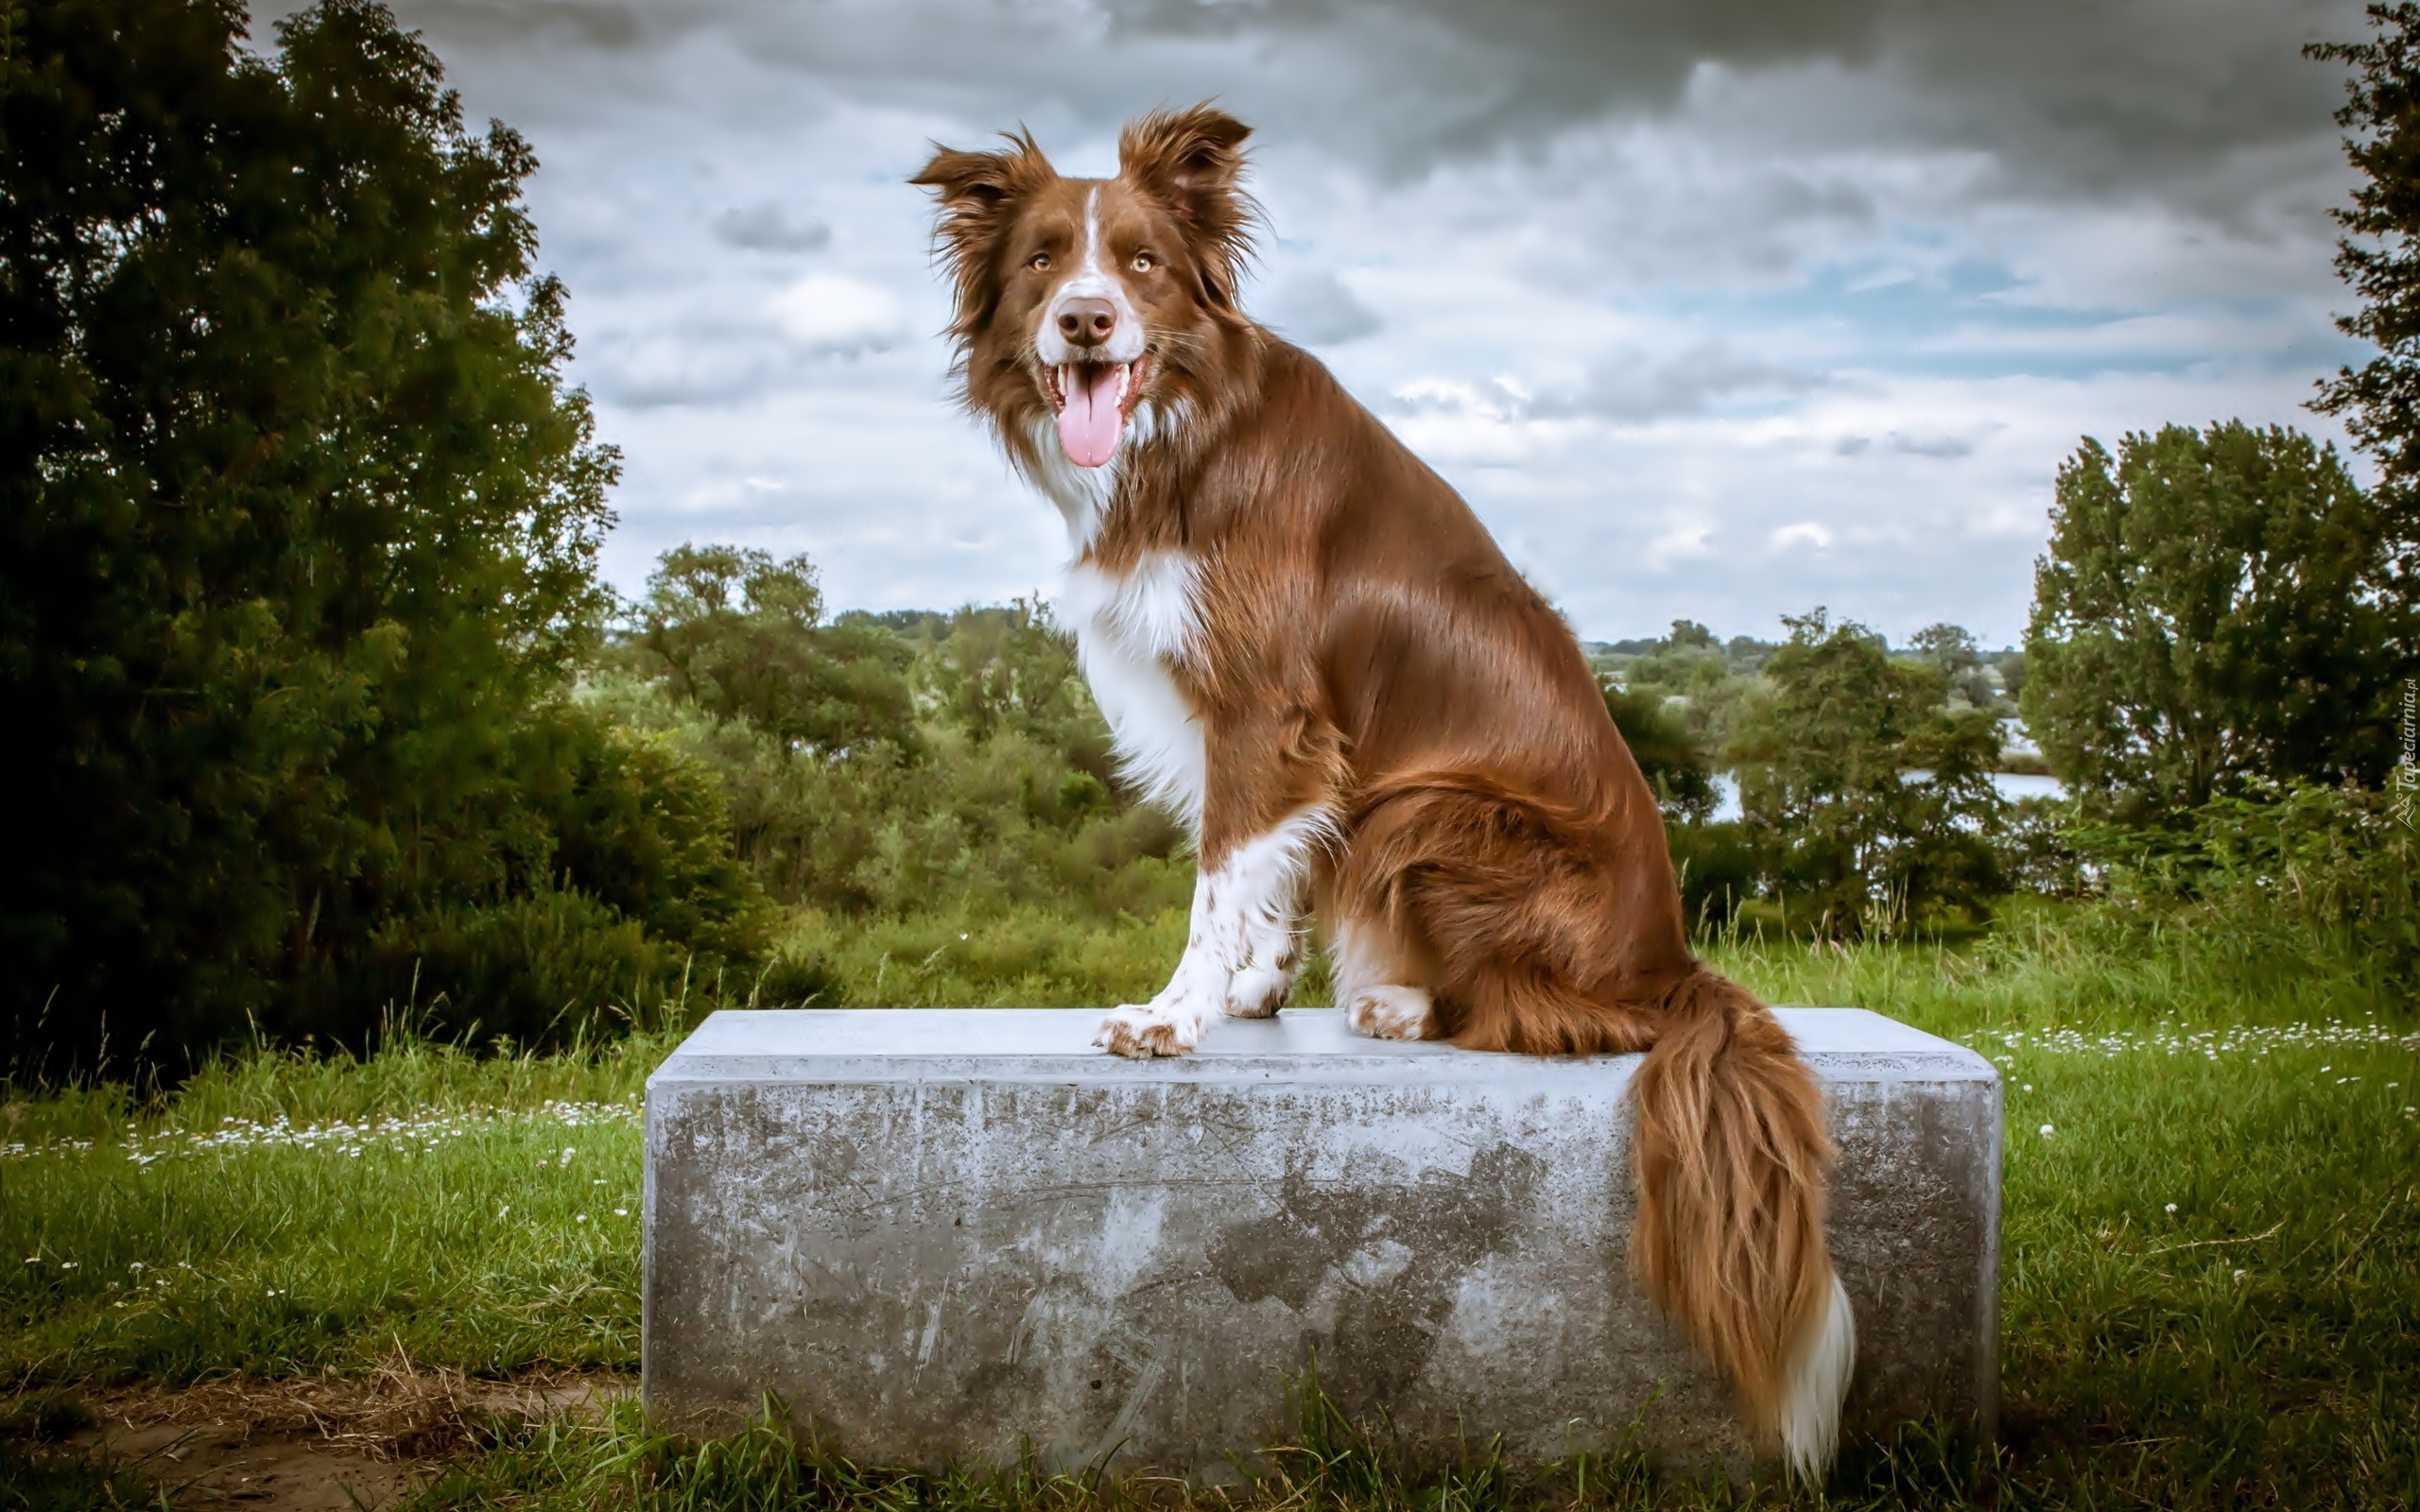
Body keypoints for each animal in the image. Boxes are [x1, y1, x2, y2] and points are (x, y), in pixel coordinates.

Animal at [919, 109, 1848, 1489]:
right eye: (1041, 260)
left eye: (1140, 265)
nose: (1086, 322)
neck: (1184, 428)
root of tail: (1675, 965)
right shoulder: (1292, 741)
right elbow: (1272, 870)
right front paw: (1255, 993)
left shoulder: (1265, 706)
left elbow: (1220, 873)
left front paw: (1174, 1017)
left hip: (1432, 812)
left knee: (1551, 1014)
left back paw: (1409, 1002)